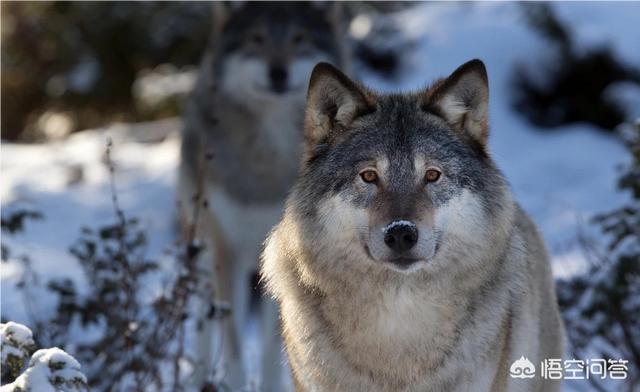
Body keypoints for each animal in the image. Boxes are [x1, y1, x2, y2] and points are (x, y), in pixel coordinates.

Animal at [176, 2, 350, 388]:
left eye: (299, 38)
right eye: (256, 39)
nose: (278, 72)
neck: (266, 162)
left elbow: (275, 346)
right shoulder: (225, 251)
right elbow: (234, 344)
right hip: (202, 250)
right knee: (203, 323)